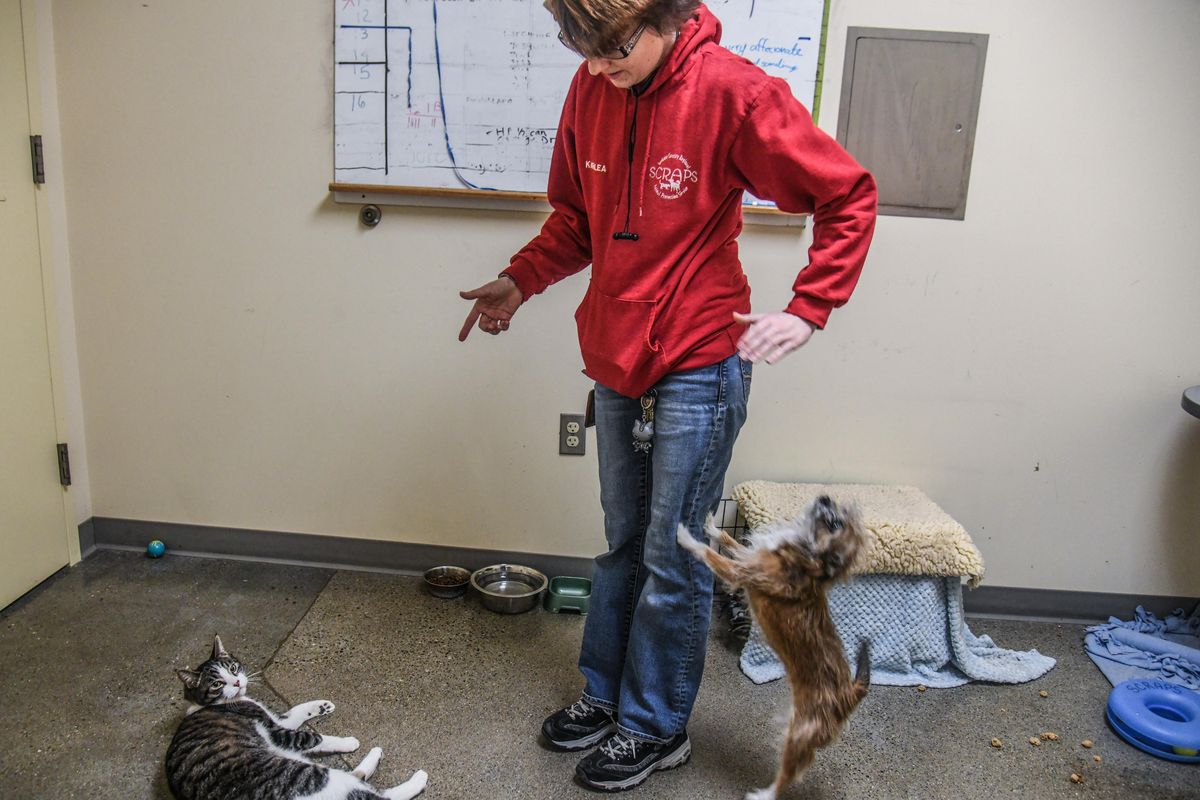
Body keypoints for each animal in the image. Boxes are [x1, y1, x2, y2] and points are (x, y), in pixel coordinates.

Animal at [166, 638, 429, 800]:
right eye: (217, 684)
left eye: (232, 668)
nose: (238, 682)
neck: (210, 704)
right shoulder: (279, 734)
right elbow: (316, 737)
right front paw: (348, 742)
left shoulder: (278, 722)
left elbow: (297, 712)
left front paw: (322, 705)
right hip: (315, 777)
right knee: (380, 795)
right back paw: (418, 778)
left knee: (359, 778)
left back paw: (375, 755)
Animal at [676, 494, 873, 800]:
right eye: (838, 512)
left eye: (835, 524)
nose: (825, 497)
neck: (803, 554)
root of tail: (851, 693)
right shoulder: (748, 556)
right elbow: (728, 541)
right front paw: (710, 525)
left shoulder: (738, 572)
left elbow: (709, 554)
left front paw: (685, 536)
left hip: (798, 736)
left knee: (790, 775)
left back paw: (763, 794)